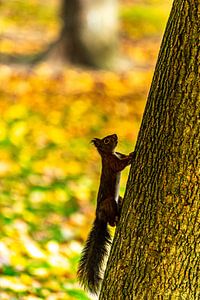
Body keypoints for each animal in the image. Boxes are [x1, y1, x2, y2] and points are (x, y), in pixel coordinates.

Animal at [77, 135, 135, 294]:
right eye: (107, 140)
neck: (110, 153)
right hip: (109, 203)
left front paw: (129, 153)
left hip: (116, 199)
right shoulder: (112, 163)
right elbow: (120, 165)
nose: (115, 135)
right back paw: (116, 219)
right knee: (111, 221)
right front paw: (132, 155)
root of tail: (99, 216)